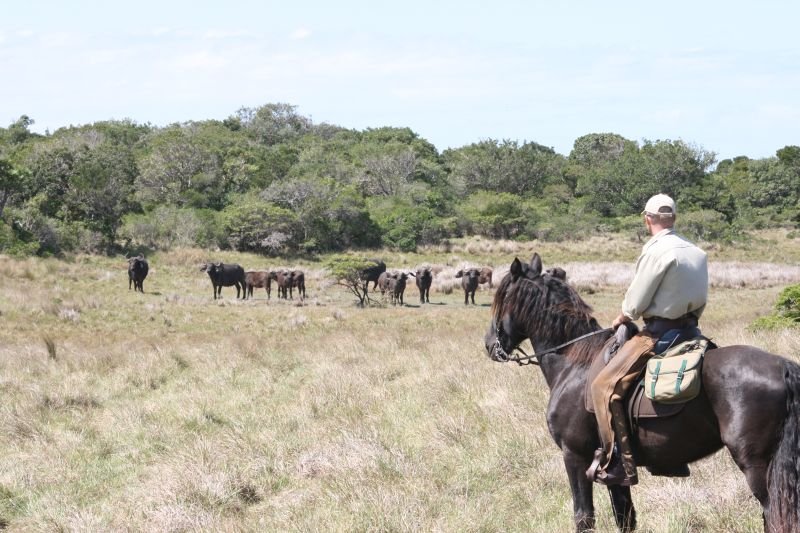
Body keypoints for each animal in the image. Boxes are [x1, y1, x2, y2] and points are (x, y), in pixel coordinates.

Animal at [484, 254, 796, 532]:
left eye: (501, 297)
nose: (489, 344)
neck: (573, 361)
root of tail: (782, 365)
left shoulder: (574, 455)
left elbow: (584, 518)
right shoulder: (613, 472)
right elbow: (625, 518)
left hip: (757, 467)